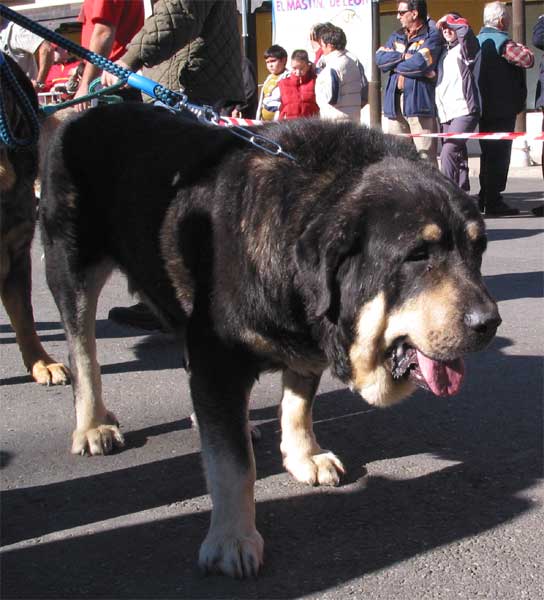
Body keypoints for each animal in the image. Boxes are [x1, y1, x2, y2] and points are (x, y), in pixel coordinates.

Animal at [40, 105, 502, 580]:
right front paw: (232, 537)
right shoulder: (217, 357)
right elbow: (233, 465)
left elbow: (298, 407)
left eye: (477, 250)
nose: (489, 322)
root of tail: (81, 114)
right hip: (71, 270)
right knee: (84, 355)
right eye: (418, 255)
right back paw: (93, 424)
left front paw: (303, 456)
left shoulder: (303, 344)